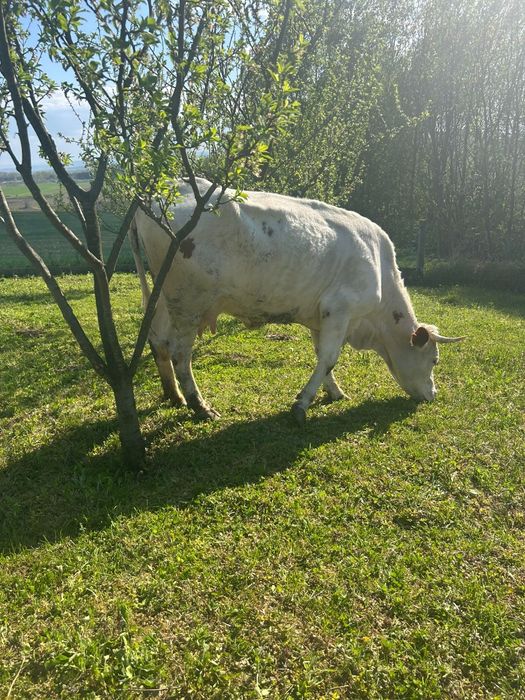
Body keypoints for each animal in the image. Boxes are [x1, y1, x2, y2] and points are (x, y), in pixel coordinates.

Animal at [131, 178, 464, 424]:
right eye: (434, 360)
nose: (433, 394)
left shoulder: (322, 316)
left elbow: (322, 357)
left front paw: (334, 392)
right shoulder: (340, 309)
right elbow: (329, 357)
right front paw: (302, 404)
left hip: (165, 298)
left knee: (158, 341)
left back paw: (173, 395)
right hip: (188, 301)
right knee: (180, 353)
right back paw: (200, 405)